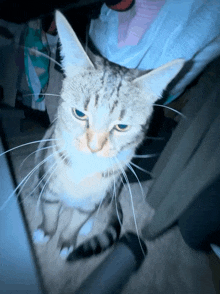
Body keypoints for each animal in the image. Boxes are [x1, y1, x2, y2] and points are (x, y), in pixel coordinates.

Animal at [32, 10, 184, 262]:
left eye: (121, 126)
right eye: (79, 113)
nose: (94, 146)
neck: (83, 170)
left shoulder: (95, 198)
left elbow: (77, 220)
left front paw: (69, 239)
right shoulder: (50, 183)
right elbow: (50, 210)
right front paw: (47, 230)